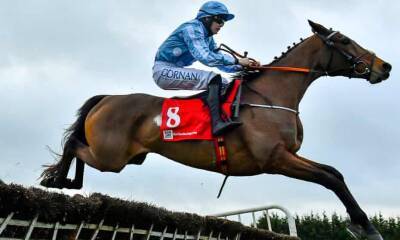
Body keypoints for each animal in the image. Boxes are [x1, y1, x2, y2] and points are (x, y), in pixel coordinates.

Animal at [40, 21, 390, 240]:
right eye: (343, 40)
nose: (384, 66)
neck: (272, 96)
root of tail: (107, 98)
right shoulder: (275, 159)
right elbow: (329, 178)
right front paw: (366, 226)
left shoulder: (287, 155)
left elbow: (335, 173)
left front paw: (363, 223)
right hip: (110, 156)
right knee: (74, 144)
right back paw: (57, 180)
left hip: (119, 157)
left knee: (78, 148)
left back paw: (68, 182)